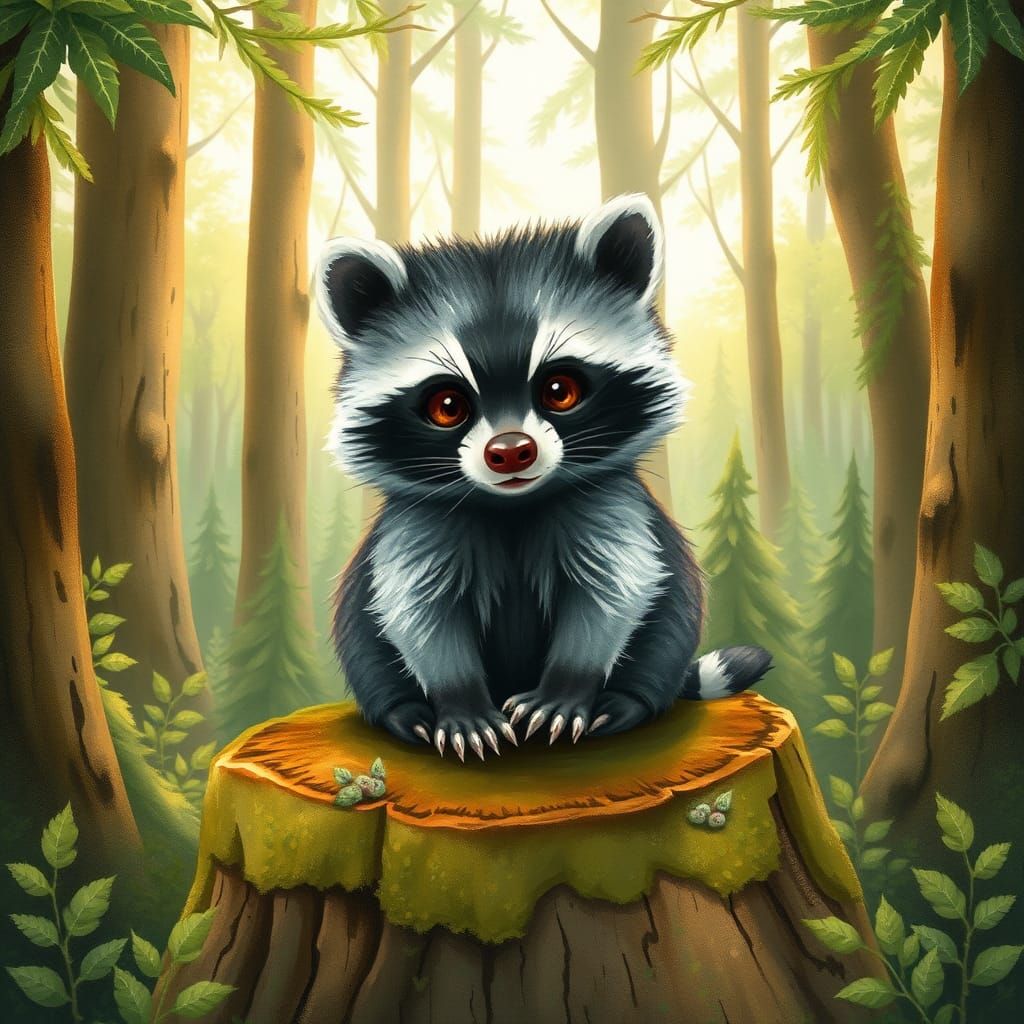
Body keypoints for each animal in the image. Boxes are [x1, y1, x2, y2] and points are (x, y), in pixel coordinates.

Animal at [315, 194, 772, 761]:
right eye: (447, 404)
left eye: (560, 389)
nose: (511, 453)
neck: (513, 505)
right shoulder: (419, 530)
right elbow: (419, 614)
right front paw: (459, 702)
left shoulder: (610, 510)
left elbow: (612, 594)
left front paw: (567, 690)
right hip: (360, 630)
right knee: (367, 643)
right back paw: (403, 712)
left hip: (675, 620)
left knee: (666, 629)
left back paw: (629, 700)